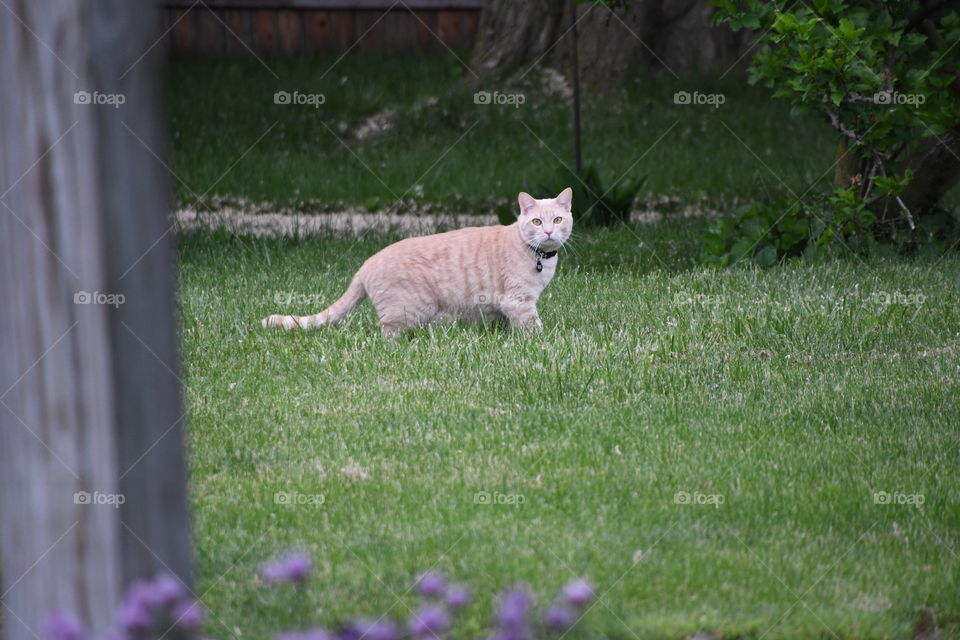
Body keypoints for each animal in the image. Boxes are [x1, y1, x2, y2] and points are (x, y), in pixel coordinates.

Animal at [260, 188, 568, 340]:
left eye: (557, 219)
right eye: (537, 221)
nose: (548, 232)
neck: (539, 256)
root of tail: (366, 263)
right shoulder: (518, 301)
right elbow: (534, 328)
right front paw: (541, 343)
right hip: (410, 310)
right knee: (386, 330)